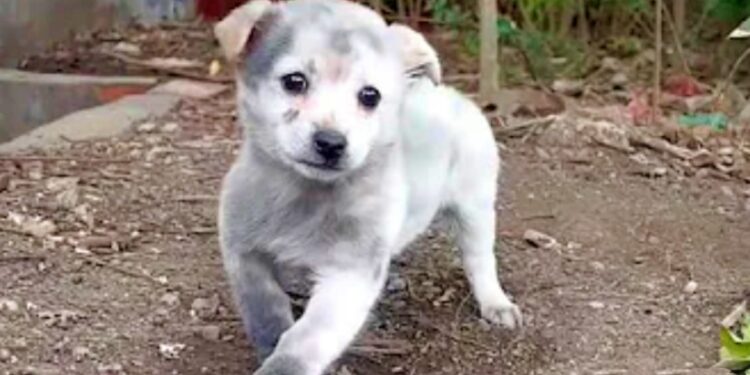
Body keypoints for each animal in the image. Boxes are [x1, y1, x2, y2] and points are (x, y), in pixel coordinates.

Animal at [216, 1, 524, 374]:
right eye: (294, 81)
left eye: (369, 96)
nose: (331, 143)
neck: (306, 194)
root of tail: (452, 94)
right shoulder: (243, 253)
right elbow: (265, 312)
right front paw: (269, 343)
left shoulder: (349, 275)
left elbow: (304, 341)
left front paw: (282, 365)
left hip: (475, 207)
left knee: (479, 259)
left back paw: (496, 302)